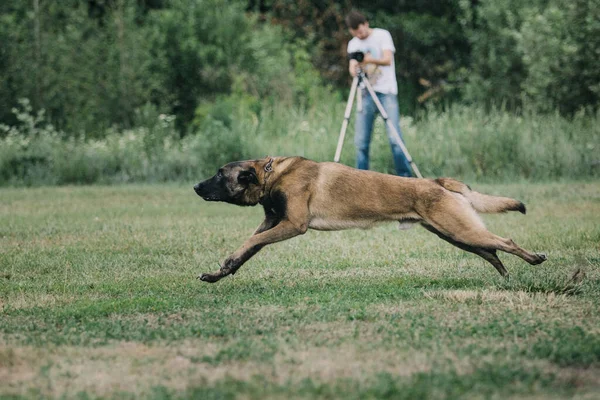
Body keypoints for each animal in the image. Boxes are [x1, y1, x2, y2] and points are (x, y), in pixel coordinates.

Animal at [195, 155, 548, 282]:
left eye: (219, 174)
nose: (196, 186)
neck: (271, 173)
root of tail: (436, 182)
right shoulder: (273, 222)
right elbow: (249, 247)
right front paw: (220, 272)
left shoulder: (293, 225)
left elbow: (250, 241)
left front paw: (225, 263)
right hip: (454, 234)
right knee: (491, 250)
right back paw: (506, 276)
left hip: (459, 230)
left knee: (505, 241)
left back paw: (534, 259)